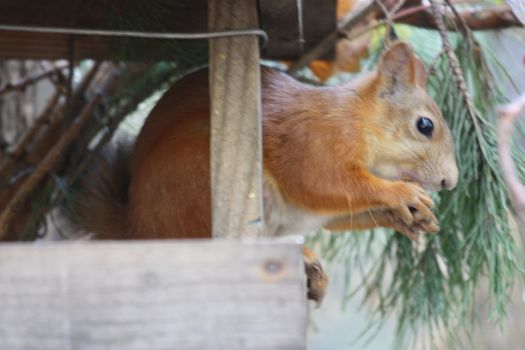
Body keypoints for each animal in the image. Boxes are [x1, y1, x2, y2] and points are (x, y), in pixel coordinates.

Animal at [72, 41, 454, 304]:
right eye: (424, 125)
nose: (449, 182)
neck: (358, 120)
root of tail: (140, 230)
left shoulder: (321, 210)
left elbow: (339, 214)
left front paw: (408, 217)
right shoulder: (313, 145)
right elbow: (323, 183)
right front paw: (402, 194)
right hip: (196, 184)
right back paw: (302, 257)